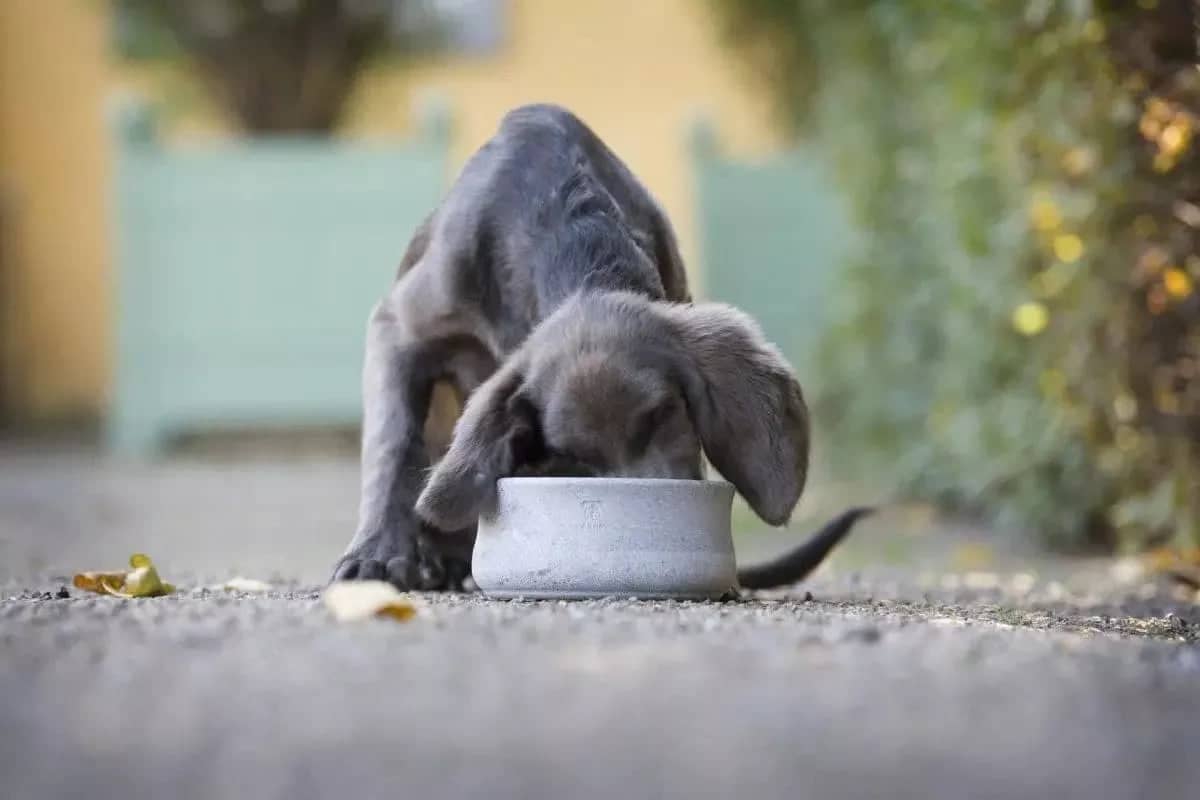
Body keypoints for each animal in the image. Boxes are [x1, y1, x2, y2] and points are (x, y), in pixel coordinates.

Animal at [333, 103, 868, 592]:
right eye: (578, 456)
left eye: (665, 415)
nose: (653, 527)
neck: (571, 228)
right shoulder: (399, 326)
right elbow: (393, 444)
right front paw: (378, 553)